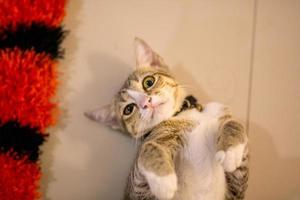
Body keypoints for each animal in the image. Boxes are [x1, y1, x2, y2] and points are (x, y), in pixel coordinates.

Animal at [84, 38, 248, 200]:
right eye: (128, 109)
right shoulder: (136, 190)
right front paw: (163, 180)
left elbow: (233, 123)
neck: (184, 115)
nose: (146, 103)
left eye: (148, 81)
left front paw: (231, 150)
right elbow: (147, 146)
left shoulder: (236, 188)